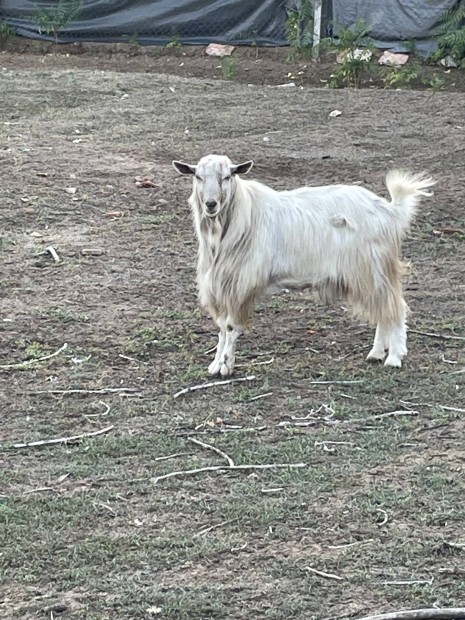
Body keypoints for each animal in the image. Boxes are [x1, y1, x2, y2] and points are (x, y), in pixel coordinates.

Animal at [172, 155, 434, 378]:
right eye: (197, 176)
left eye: (227, 176)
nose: (211, 204)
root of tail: (390, 210)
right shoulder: (222, 284)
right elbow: (220, 327)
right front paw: (216, 363)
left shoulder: (240, 284)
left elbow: (229, 326)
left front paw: (226, 366)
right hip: (368, 274)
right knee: (383, 311)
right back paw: (377, 353)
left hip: (373, 269)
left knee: (395, 308)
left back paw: (395, 358)